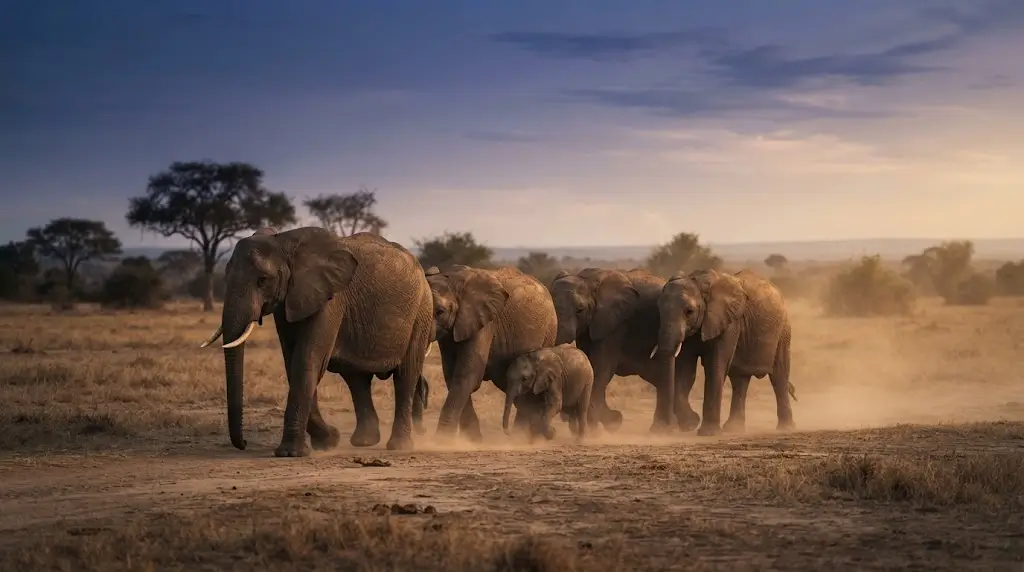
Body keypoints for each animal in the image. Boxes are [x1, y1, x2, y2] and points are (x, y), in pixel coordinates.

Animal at [198, 227, 434, 457]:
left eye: (262, 280)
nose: (245, 443)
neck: (284, 241)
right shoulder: (288, 301)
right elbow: (293, 363)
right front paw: (329, 441)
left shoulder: (330, 299)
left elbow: (307, 361)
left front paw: (291, 453)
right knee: (357, 379)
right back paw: (365, 442)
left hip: (421, 312)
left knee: (405, 375)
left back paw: (399, 446)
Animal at [425, 264, 557, 441]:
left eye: (440, 312)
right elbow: (452, 376)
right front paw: (474, 441)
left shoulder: (484, 322)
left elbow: (467, 375)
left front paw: (442, 441)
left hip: (549, 330)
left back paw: (519, 437)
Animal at [549, 267, 703, 433]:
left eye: (580, 310)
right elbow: (592, 365)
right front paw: (609, 422)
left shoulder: (615, 324)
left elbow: (601, 368)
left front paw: (604, 424)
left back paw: (683, 424)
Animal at [650, 268, 797, 436]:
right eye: (659, 310)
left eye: (689, 312)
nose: (668, 426)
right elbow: (685, 370)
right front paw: (690, 423)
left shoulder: (729, 323)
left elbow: (715, 367)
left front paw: (707, 432)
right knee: (740, 379)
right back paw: (734, 429)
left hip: (783, 330)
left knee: (779, 375)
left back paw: (786, 428)